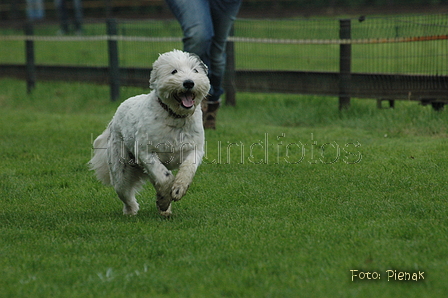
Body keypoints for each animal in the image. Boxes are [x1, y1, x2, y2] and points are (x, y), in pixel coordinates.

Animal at [91, 49, 212, 217]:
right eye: (174, 71)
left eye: (195, 70)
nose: (189, 82)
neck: (175, 117)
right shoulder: (145, 152)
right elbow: (164, 177)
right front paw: (165, 197)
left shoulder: (195, 148)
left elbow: (188, 167)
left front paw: (178, 189)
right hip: (120, 168)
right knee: (124, 192)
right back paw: (132, 210)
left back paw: (164, 208)